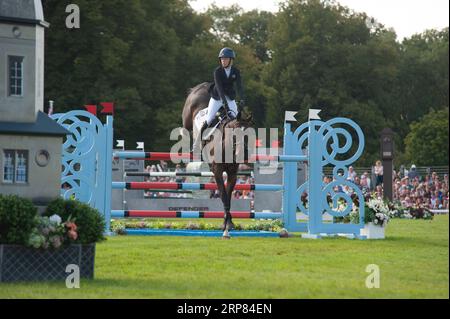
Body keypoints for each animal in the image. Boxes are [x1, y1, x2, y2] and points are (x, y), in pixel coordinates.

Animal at [182, 83, 253, 240]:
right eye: (235, 134)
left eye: (248, 134)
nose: (244, 153)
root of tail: (202, 86)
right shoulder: (217, 172)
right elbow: (223, 195)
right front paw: (226, 227)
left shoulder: (232, 174)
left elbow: (228, 196)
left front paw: (229, 223)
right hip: (187, 118)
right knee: (185, 128)